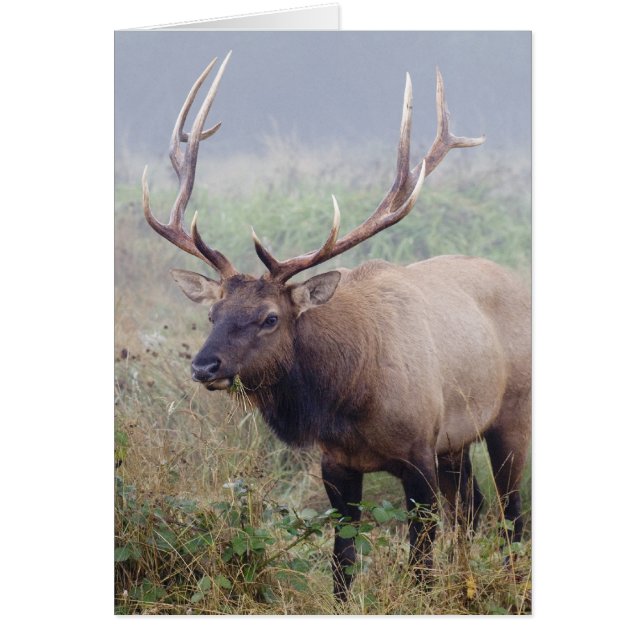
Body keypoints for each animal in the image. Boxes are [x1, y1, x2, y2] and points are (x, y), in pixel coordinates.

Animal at [142, 52, 531, 601]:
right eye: (213, 314)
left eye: (270, 318)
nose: (204, 366)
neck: (349, 401)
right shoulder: (336, 463)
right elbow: (341, 563)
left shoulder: (419, 450)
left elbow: (420, 559)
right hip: (457, 439)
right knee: (474, 510)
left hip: (512, 415)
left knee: (511, 515)